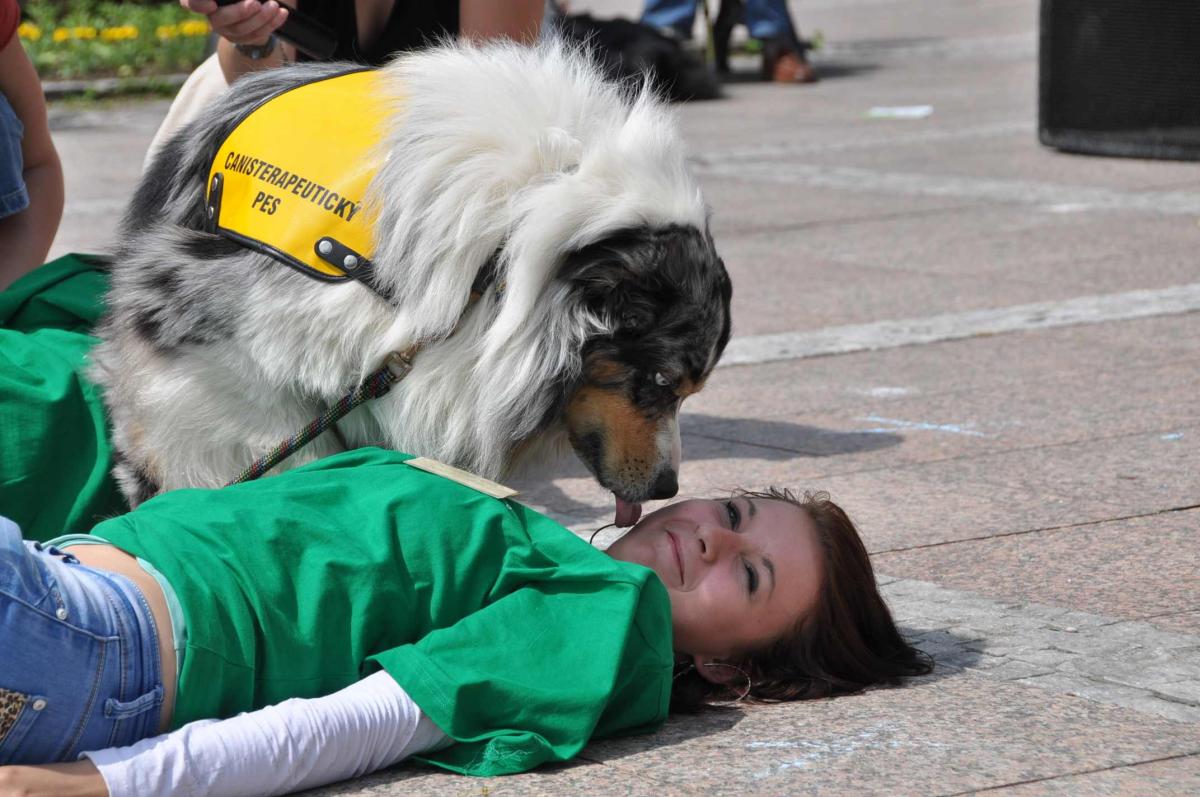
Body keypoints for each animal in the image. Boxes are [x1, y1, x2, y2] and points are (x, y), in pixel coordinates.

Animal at [93, 40, 729, 525]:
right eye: (661, 381)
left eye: (689, 391)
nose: (670, 488)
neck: (507, 240)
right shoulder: (212, 337)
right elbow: (272, 439)